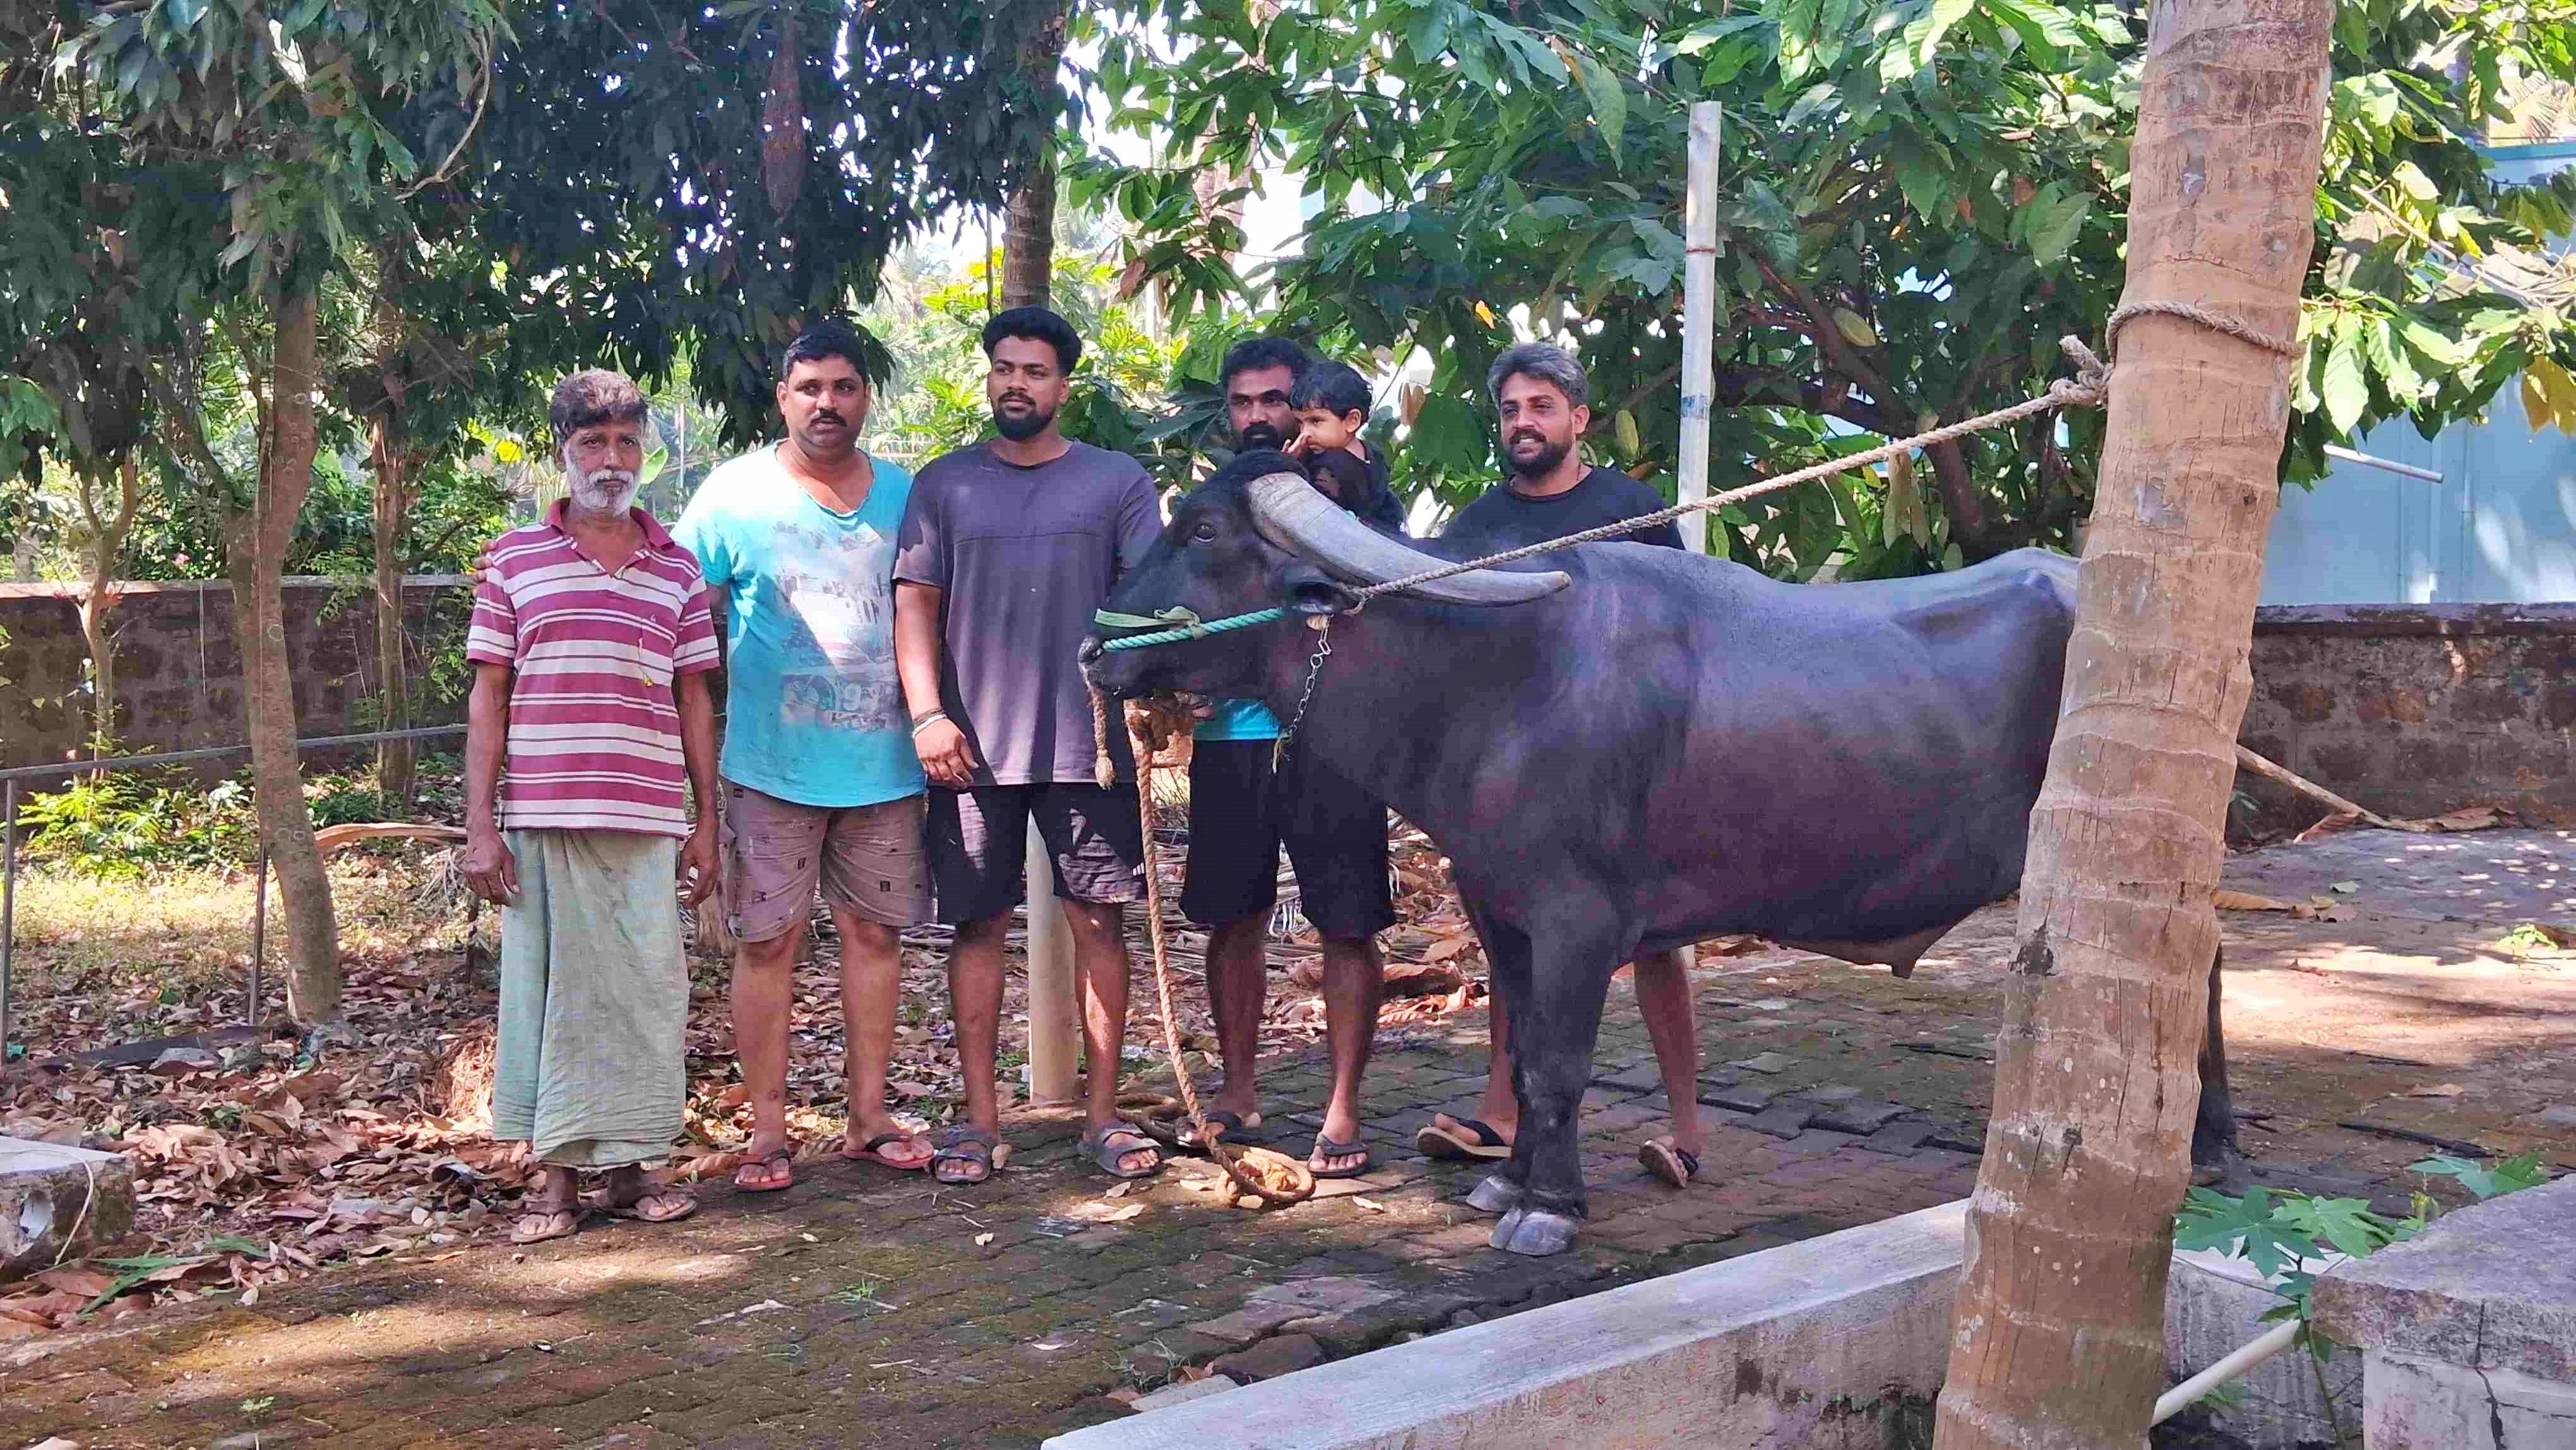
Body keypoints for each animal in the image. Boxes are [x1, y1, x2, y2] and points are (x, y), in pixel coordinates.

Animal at [1087, 453, 2236, 1262]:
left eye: (1199, 530)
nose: (1097, 651)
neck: (1493, 682)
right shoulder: (1499, 912)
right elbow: (1521, 1052)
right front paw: (1511, 1181)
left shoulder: (1578, 921)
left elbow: (1559, 1063)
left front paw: (1550, 1209)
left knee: (2199, 972)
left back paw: (2210, 1146)